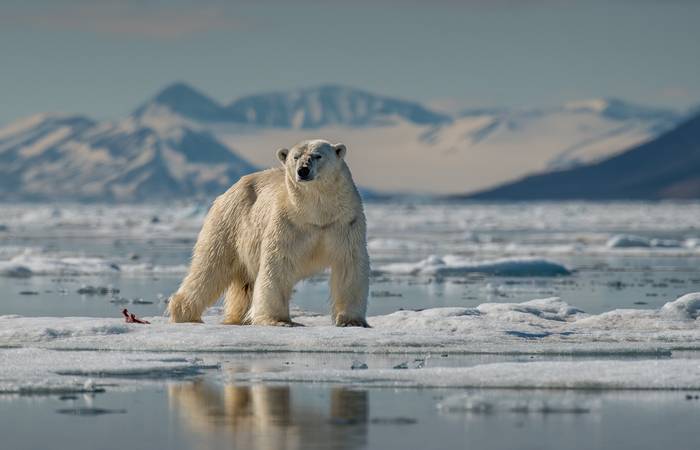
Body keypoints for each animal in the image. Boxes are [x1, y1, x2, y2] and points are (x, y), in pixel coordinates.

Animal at [167, 139, 370, 326]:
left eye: (317, 155)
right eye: (295, 157)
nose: (303, 170)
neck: (317, 213)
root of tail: (229, 190)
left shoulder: (344, 223)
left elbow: (349, 265)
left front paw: (352, 321)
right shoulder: (289, 222)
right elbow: (278, 264)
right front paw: (279, 320)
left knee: (242, 283)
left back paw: (238, 317)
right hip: (230, 223)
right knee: (210, 266)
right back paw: (185, 313)